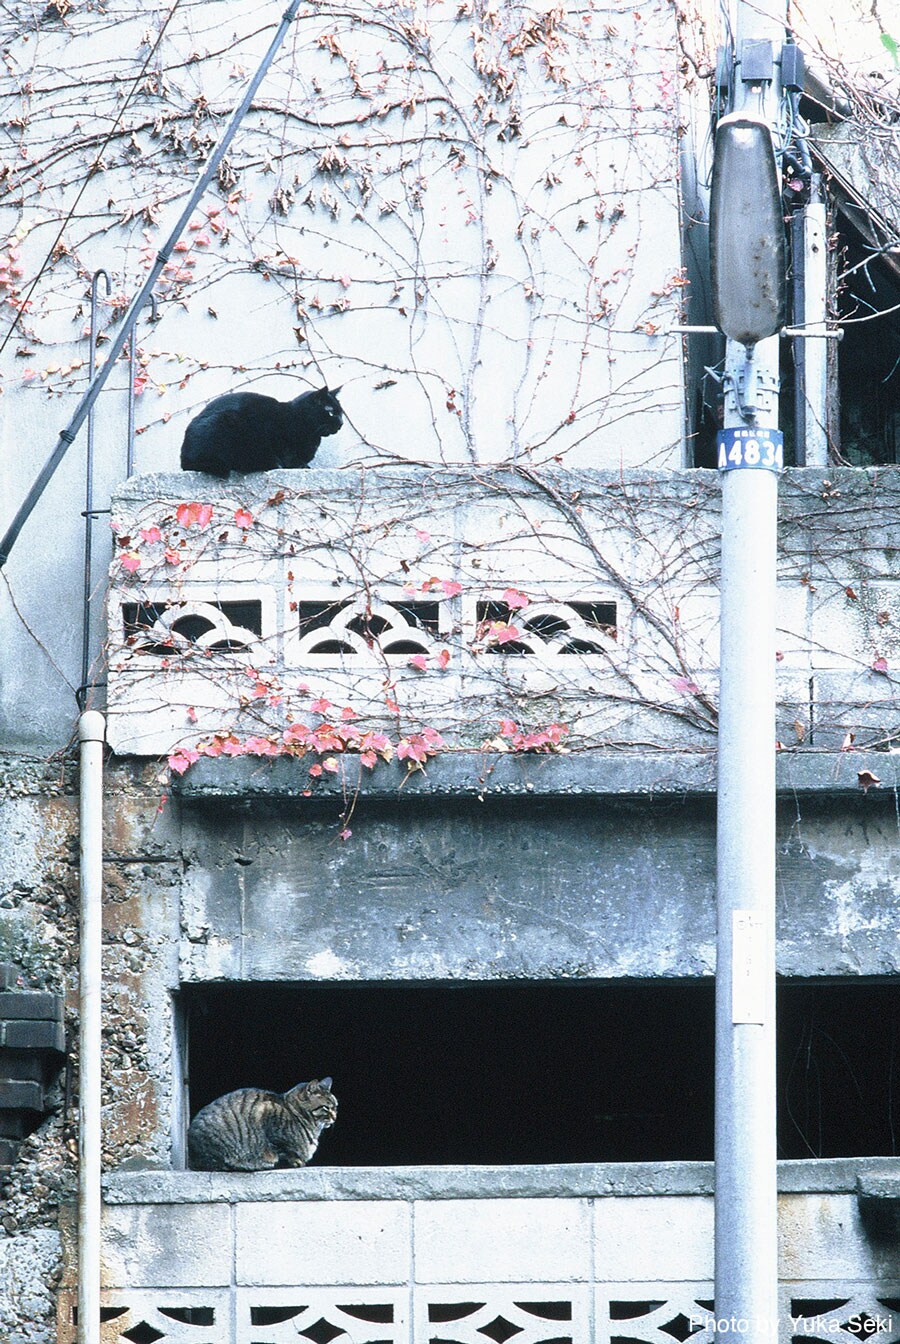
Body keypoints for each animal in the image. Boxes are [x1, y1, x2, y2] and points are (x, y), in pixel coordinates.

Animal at [181, 384, 343, 478]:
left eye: (341, 412)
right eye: (330, 412)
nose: (341, 423)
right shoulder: (276, 436)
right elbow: (289, 456)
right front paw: (301, 466)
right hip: (224, 424)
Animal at [186, 1075, 338, 1171]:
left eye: (336, 1106)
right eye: (326, 1108)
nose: (335, 1117)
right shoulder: (267, 1116)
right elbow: (283, 1151)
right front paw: (295, 1161)